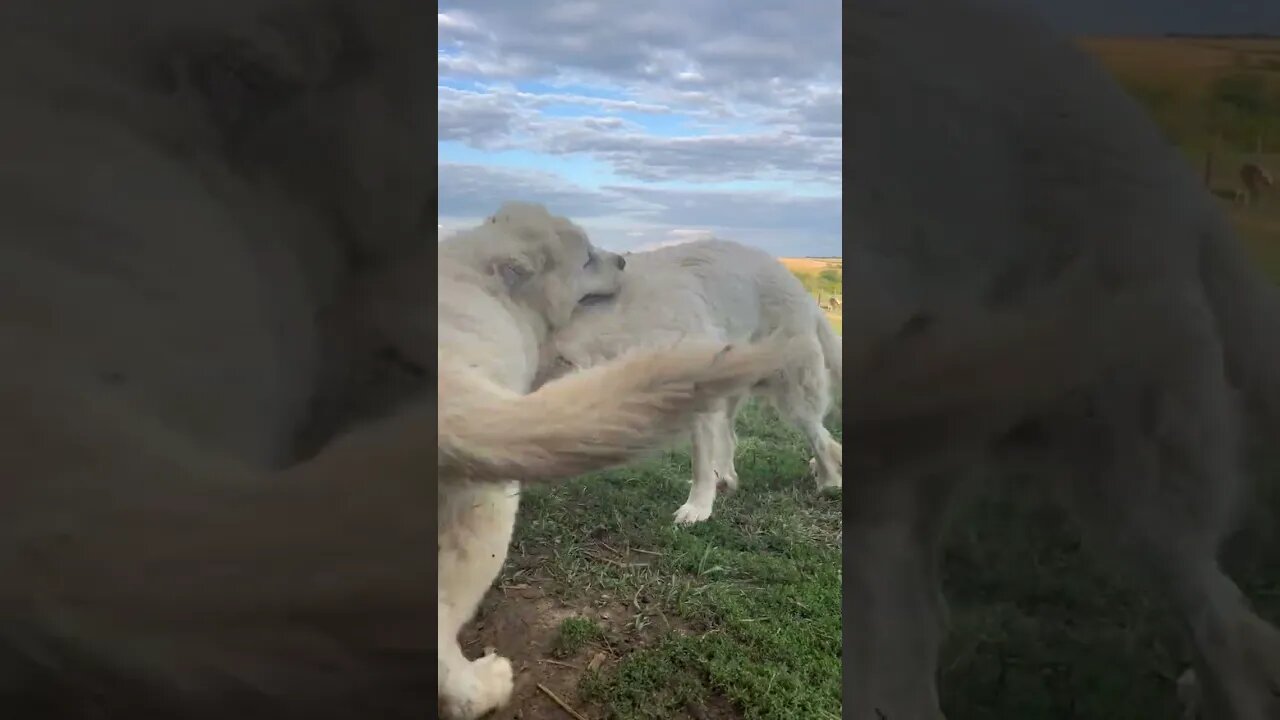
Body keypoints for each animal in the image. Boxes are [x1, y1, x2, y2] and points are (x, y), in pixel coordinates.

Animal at [529, 238, 839, 525]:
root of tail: (799, 289)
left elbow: (700, 460)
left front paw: (697, 509)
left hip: (793, 391)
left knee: (819, 436)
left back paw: (829, 480)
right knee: (733, 436)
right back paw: (727, 479)